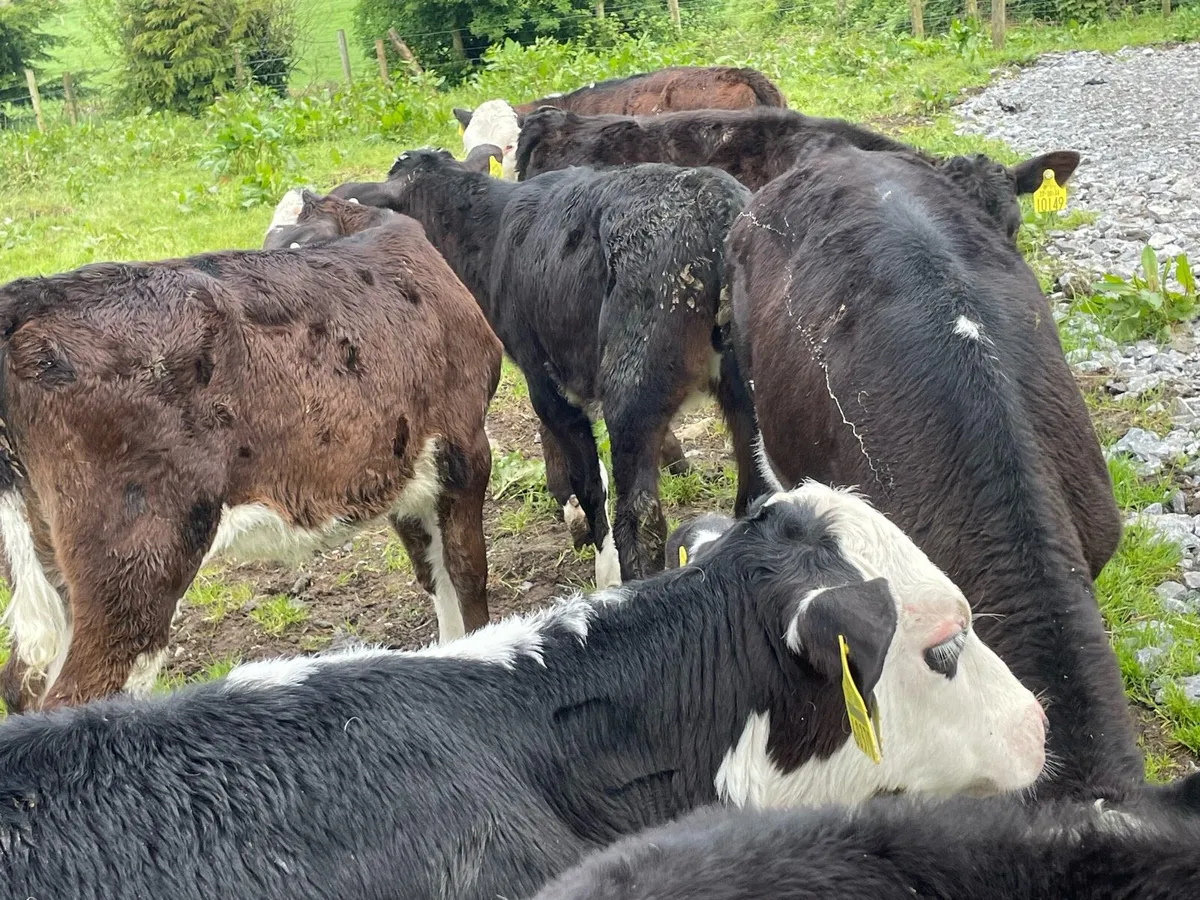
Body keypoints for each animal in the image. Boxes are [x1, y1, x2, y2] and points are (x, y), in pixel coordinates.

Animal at [0, 212, 503, 712]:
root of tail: (29, 297)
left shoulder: (408, 474)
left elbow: (436, 577)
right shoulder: (467, 446)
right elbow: (468, 573)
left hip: (39, 566)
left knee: (20, 680)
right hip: (136, 563)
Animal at [330, 151, 765, 585]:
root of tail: (715, 207)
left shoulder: (546, 383)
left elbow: (588, 483)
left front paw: (603, 568)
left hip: (632, 388)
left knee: (642, 520)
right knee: (757, 489)